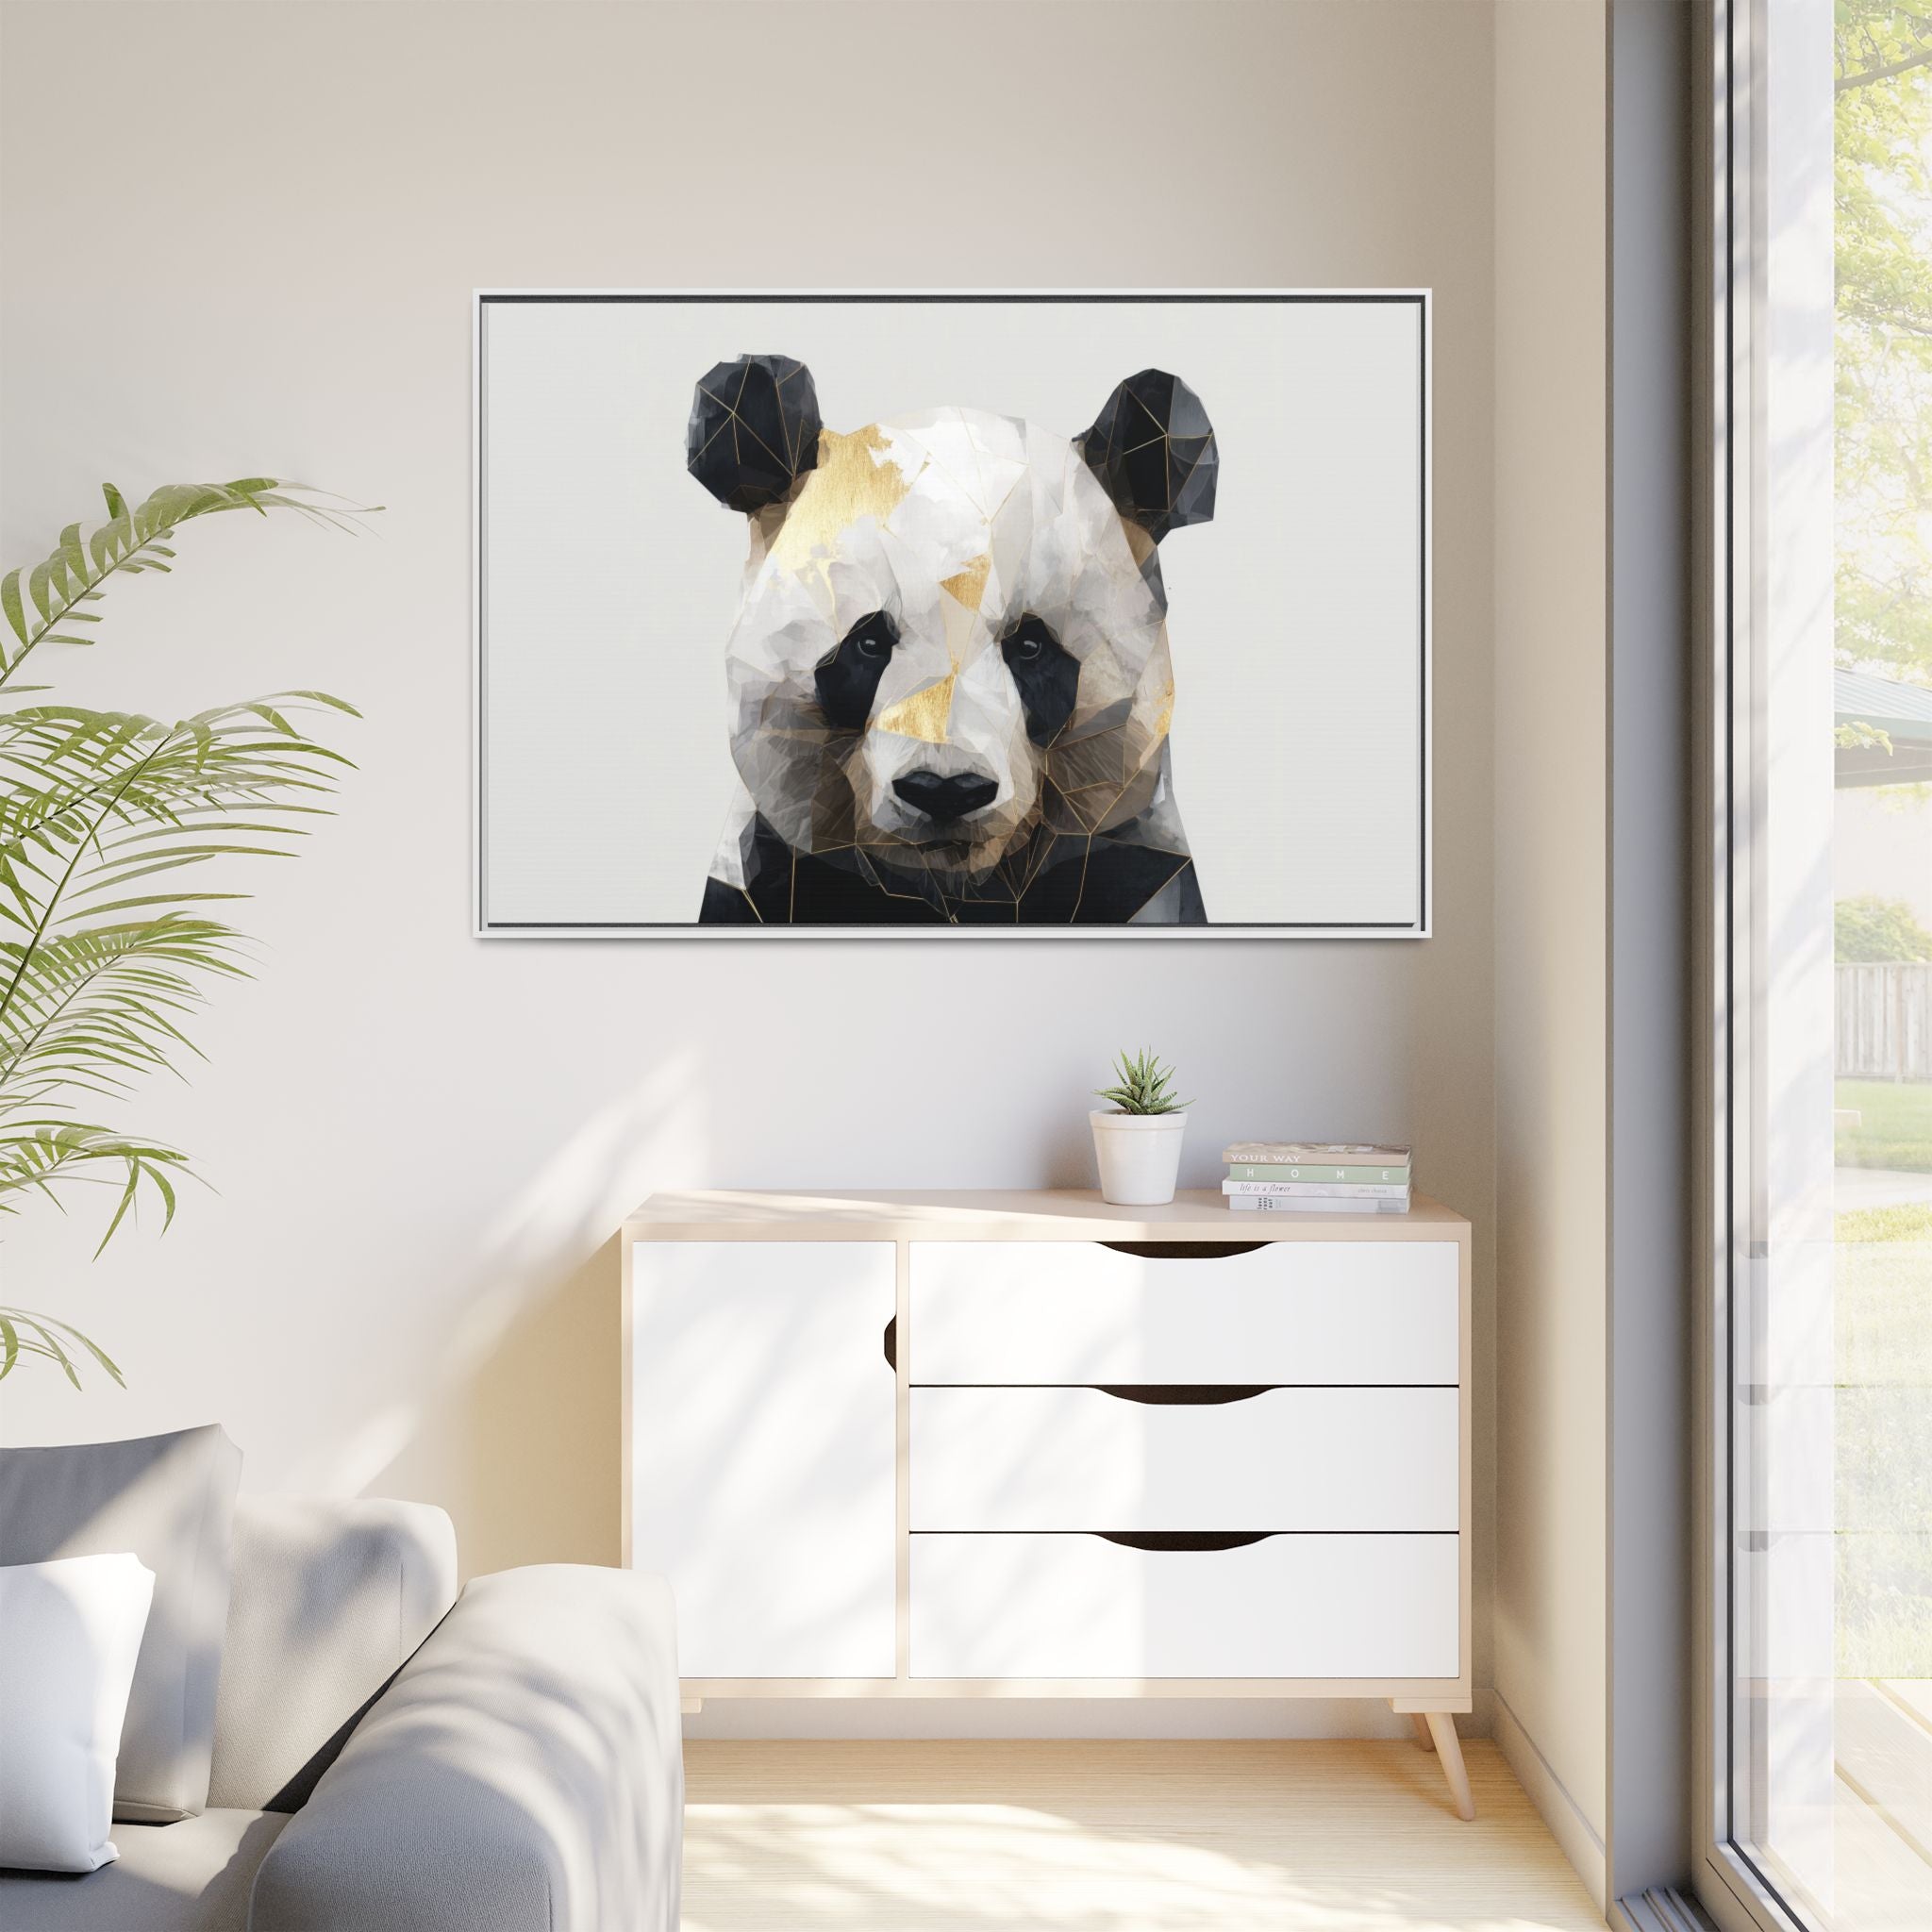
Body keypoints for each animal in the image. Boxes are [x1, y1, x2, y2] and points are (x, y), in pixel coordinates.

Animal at [686, 355, 1218, 925]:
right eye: (868, 644)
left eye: (1030, 646)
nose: (945, 791)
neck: (955, 891)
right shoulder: (767, 876)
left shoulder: (1132, 869)